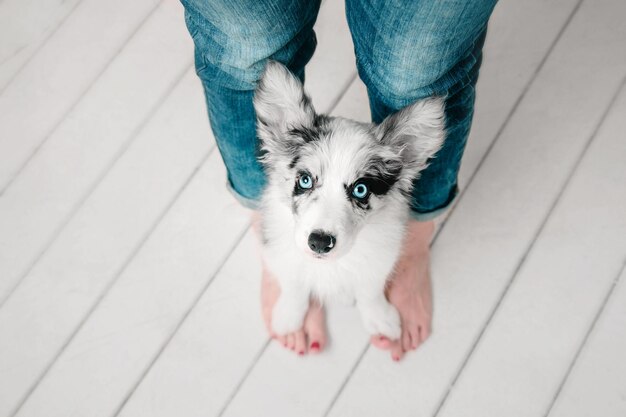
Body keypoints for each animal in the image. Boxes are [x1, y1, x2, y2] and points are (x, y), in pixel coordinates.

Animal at [254, 61, 444, 342]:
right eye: (305, 180)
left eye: (361, 189)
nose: (320, 243)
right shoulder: (282, 254)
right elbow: (294, 287)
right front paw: (288, 318)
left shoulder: (378, 261)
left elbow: (370, 292)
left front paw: (380, 318)